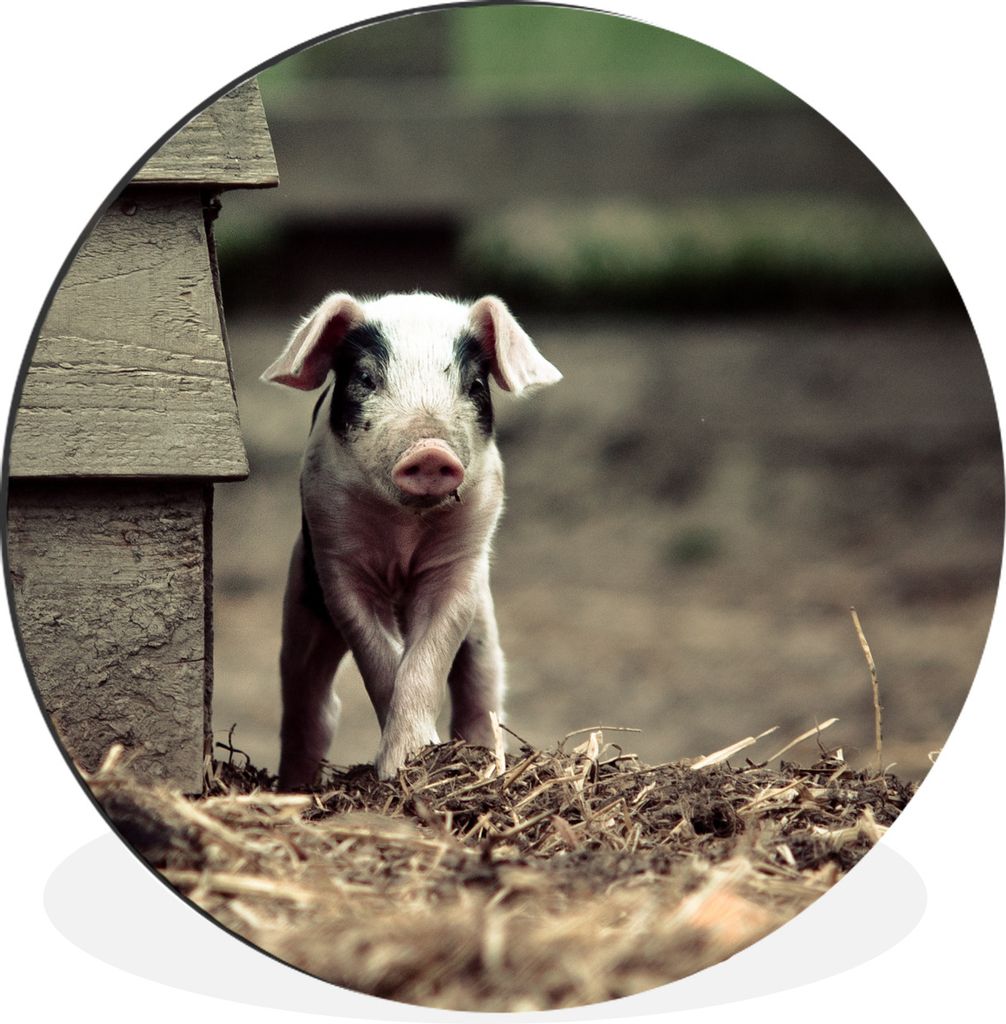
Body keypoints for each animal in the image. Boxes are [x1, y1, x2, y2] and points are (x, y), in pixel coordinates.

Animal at [262, 292, 562, 786]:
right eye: (366, 378)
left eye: (474, 384)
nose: (430, 451)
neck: (404, 535)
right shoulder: (336, 557)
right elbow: (381, 657)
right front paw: (397, 768)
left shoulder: (461, 562)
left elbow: (425, 659)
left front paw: (415, 759)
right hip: (300, 601)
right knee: (311, 703)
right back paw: (295, 788)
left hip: (484, 617)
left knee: (482, 686)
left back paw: (488, 763)